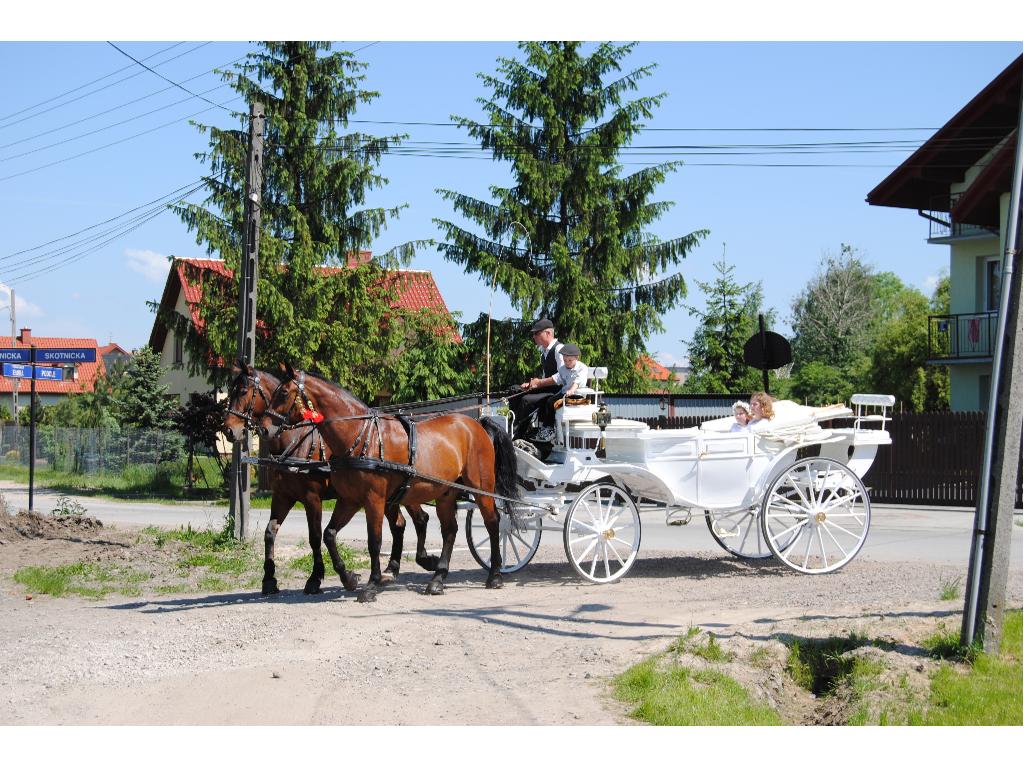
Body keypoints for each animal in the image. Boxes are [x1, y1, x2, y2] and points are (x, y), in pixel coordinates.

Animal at [224, 364, 440, 598]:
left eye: (243, 392)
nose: (228, 430)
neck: (294, 443)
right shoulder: (282, 496)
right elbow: (270, 533)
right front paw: (269, 579)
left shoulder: (312, 498)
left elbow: (315, 536)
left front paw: (315, 578)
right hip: (390, 497)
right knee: (399, 524)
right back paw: (392, 568)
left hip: (407, 491)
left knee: (421, 519)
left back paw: (423, 561)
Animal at [252, 364, 516, 602]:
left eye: (283, 393)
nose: (263, 429)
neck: (360, 435)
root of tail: (476, 424)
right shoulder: (349, 500)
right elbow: (329, 534)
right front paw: (349, 577)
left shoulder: (373, 499)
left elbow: (374, 541)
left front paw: (371, 585)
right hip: (445, 493)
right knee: (449, 530)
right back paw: (438, 579)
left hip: (481, 488)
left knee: (493, 523)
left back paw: (495, 574)